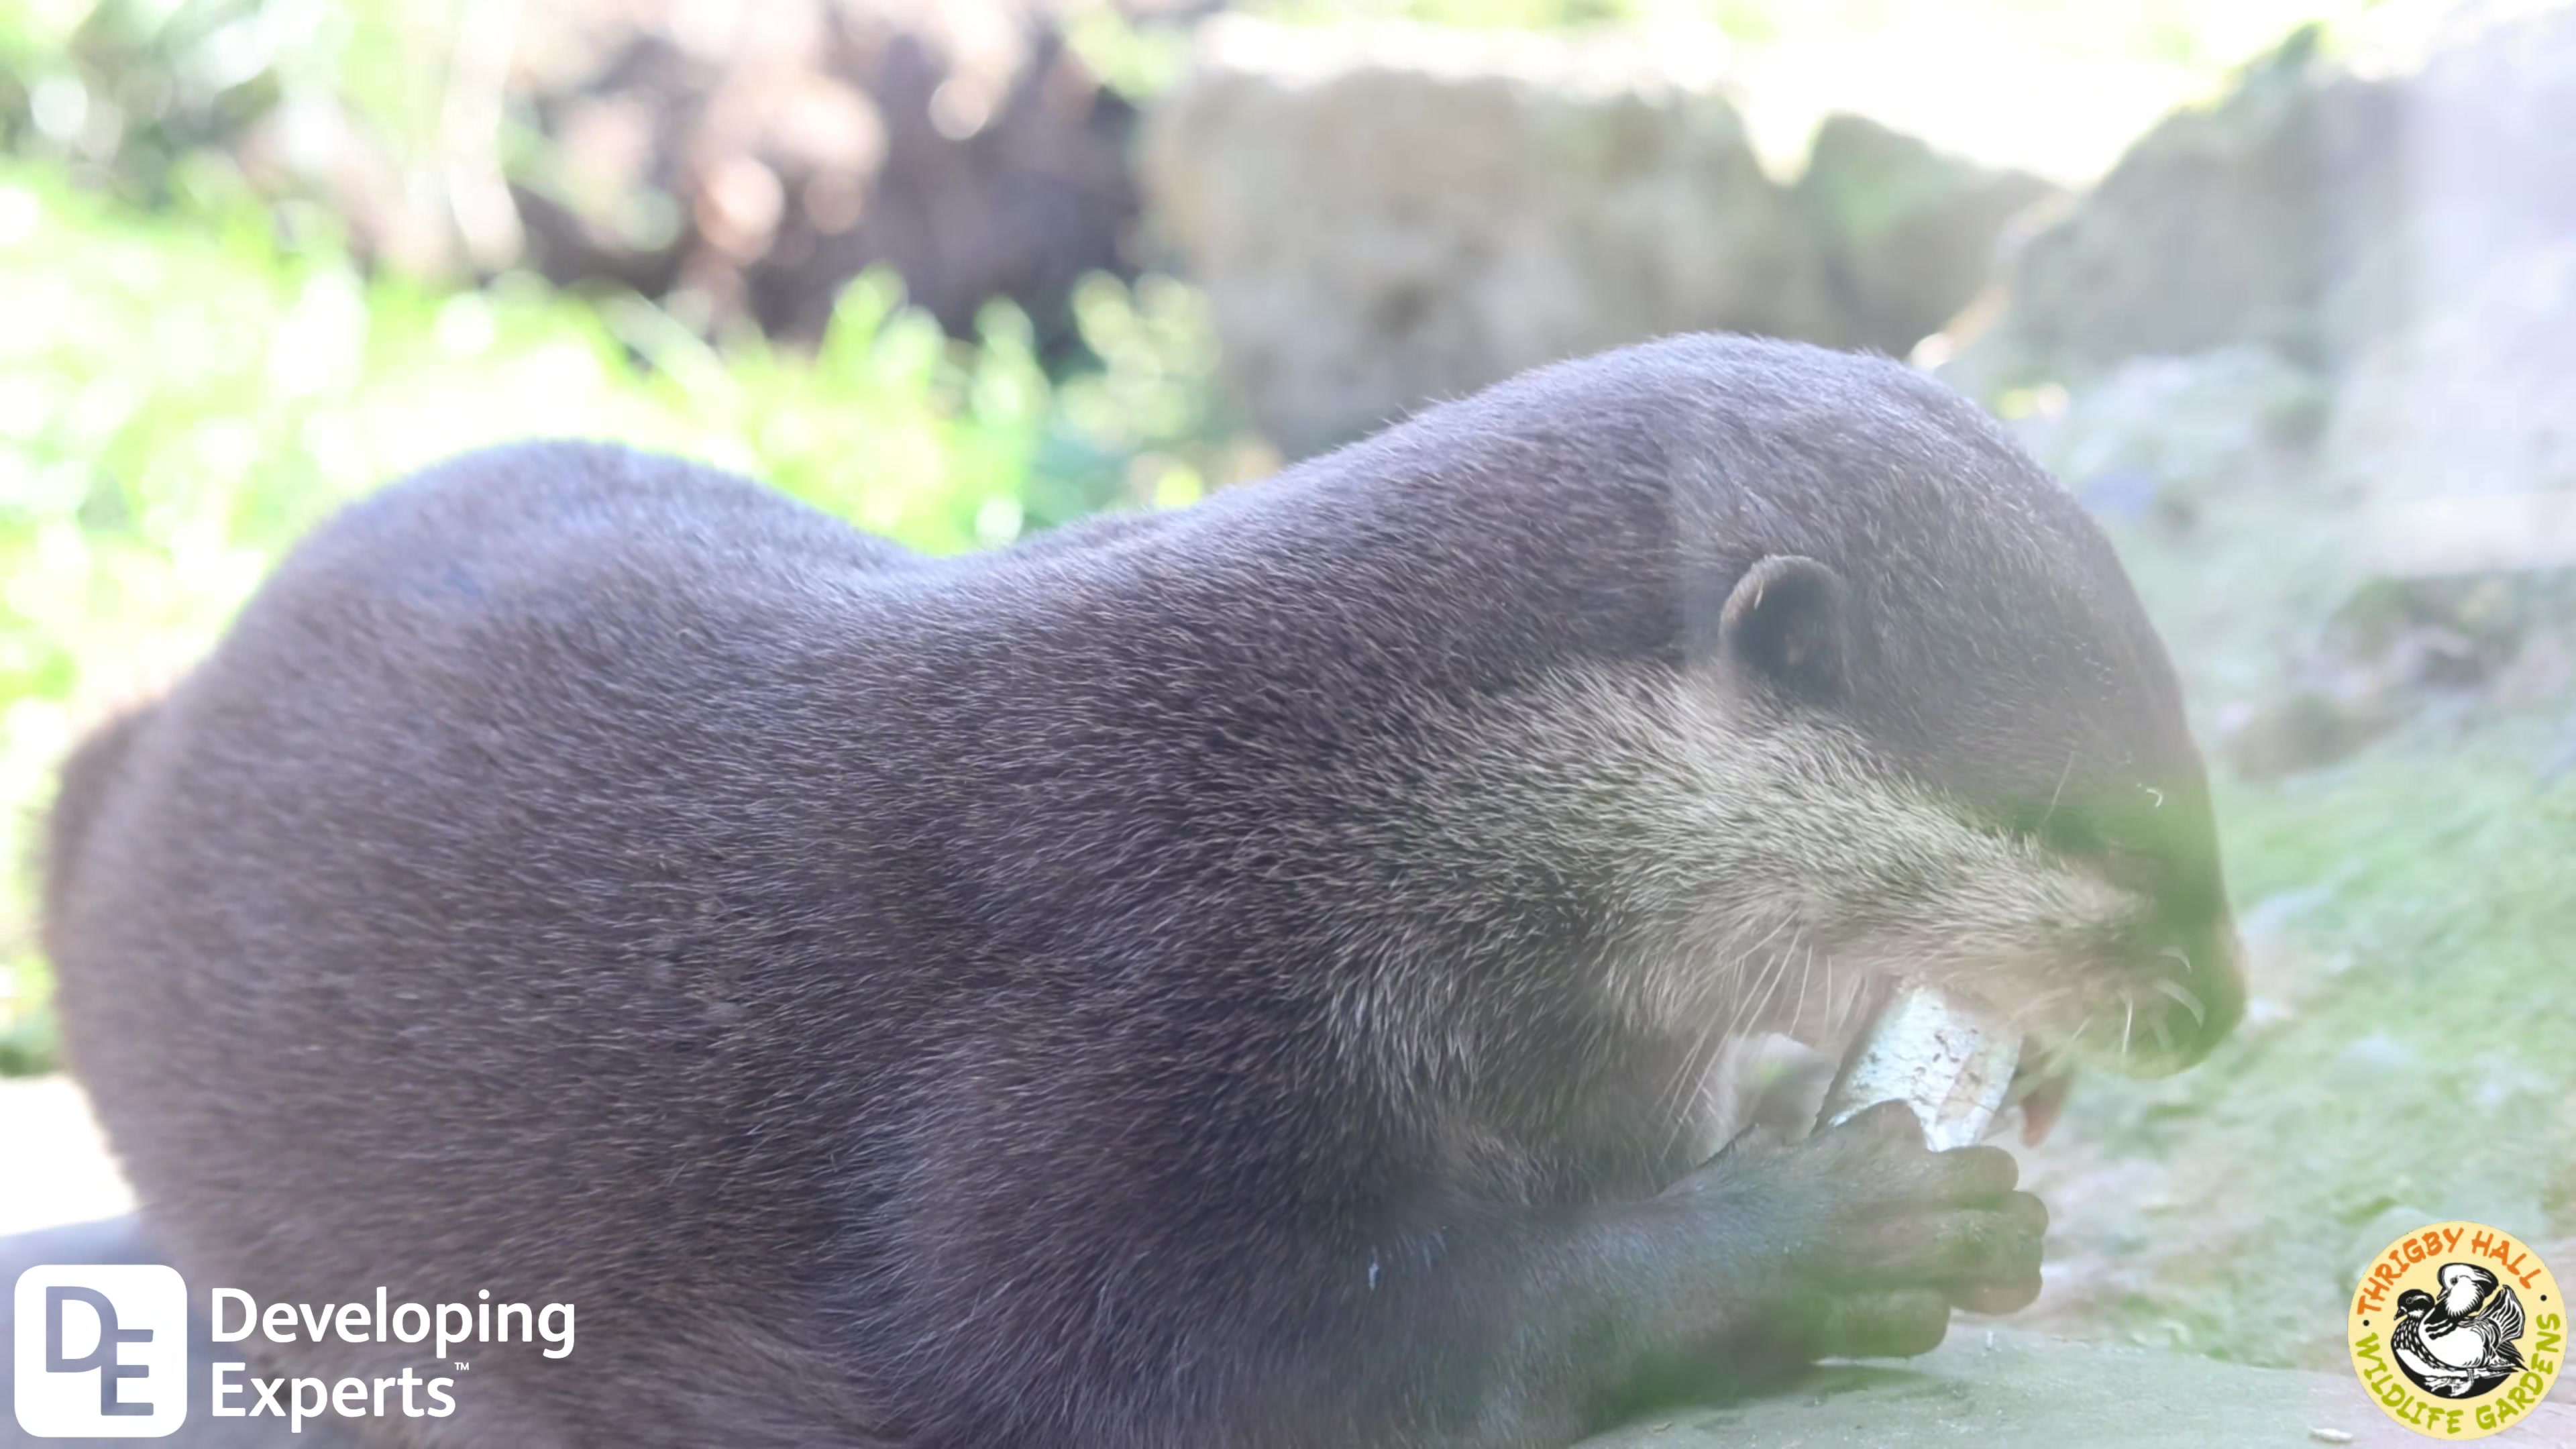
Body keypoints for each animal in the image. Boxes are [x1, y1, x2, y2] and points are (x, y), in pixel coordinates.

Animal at [40, 335, 2243, 1449]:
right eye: (2119, 826)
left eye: (2197, 791)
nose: (2218, 1006)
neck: (1338, 824)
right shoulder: (1115, 1000)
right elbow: (1195, 1366)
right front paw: (1833, 1226)